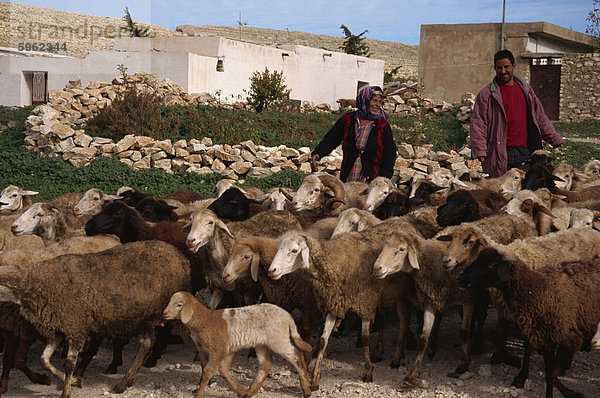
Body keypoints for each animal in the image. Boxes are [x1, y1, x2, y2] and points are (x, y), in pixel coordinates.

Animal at [0, 239, 190, 398]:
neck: (32, 281)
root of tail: (182, 257)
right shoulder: (60, 328)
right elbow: (44, 360)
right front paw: (74, 381)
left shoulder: (76, 327)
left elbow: (69, 364)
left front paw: (66, 392)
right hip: (140, 317)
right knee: (145, 345)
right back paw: (123, 384)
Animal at [164, 290, 314, 398]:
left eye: (179, 305)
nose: (164, 313)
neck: (205, 320)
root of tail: (288, 316)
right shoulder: (216, 350)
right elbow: (222, 370)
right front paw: (240, 391)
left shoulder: (218, 349)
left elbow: (208, 371)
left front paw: (199, 395)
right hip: (262, 344)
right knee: (266, 365)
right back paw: (250, 392)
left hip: (279, 340)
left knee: (297, 356)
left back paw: (306, 389)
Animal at [270, 230, 414, 388]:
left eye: (294, 251)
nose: (272, 270)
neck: (333, 262)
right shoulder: (335, 305)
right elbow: (323, 340)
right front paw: (315, 378)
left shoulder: (364, 302)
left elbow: (365, 337)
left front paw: (368, 372)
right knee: (384, 320)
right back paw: (380, 352)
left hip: (399, 294)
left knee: (404, 319)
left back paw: (397, 357)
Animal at [372, 232, 476, 384]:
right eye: (384, 246)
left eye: (401, 249)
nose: (376, 268)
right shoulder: (429, 303)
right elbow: (423, 339)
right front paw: (412, 374)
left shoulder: (468, 300)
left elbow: (464, 333)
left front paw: (463, 364)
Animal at [458, 252, 600, 398]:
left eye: (491, 265)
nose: (460, 277)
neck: (538, 290)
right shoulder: (546, 339)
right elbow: (549, 375)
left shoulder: (568, 338)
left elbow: (551, 375)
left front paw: (572, 393)